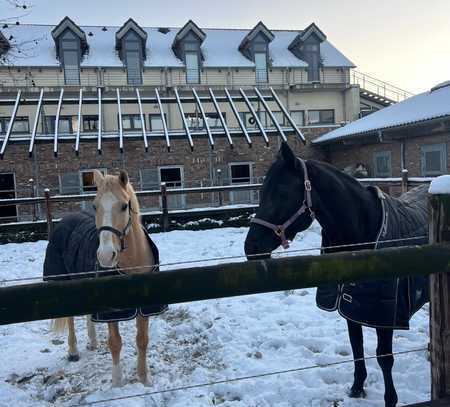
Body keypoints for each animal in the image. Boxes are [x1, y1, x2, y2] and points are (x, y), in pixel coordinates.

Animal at [43, 171, 163, 388]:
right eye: (95, 205)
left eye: (124, 206)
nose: (106, 256)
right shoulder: (110, 312)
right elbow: (115, 343)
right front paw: (117, 382)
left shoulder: (145, 308)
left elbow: (142, 340)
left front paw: (144, 379)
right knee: (70, 317)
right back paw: (73, 351)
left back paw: (92, 342)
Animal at [246, 143, 428, 407]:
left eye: (282, 193)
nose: (250, 247)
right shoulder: (350, 306)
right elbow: (356, 345)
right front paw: (357, 387)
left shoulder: (385, 316)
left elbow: (384, 358)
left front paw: (390, 400)